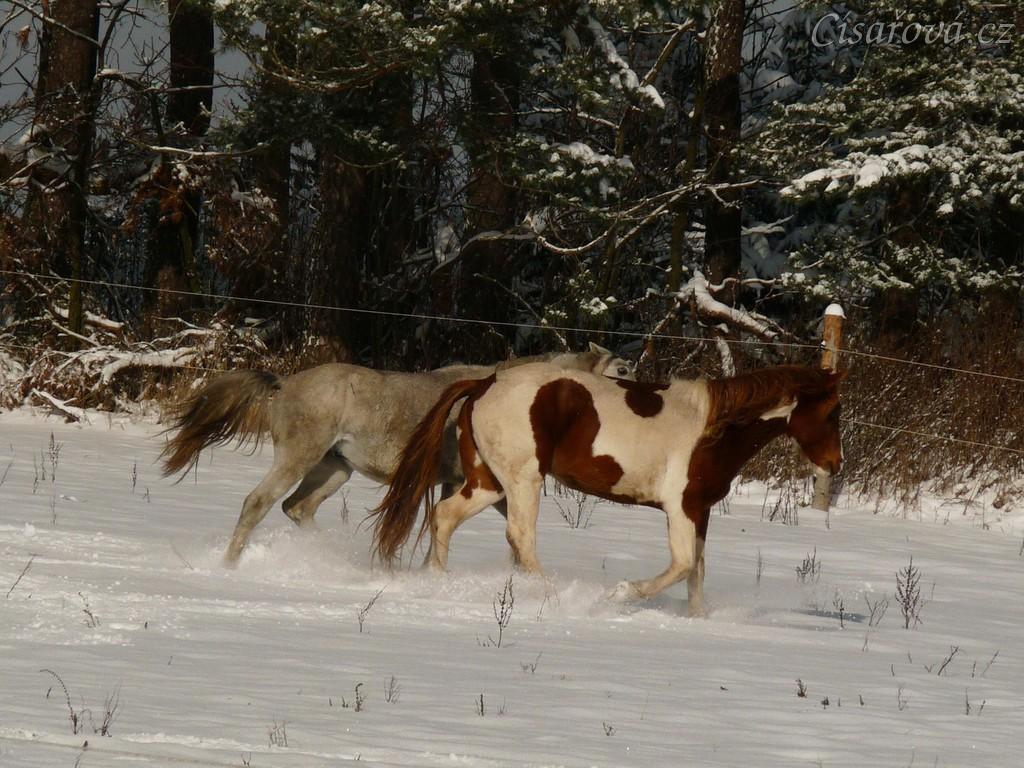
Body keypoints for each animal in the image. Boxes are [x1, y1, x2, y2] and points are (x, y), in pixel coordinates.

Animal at [161, 344, 635, 564]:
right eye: (621, 371)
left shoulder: (458, 483)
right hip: (298, 458)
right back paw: (230, 565)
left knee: (297, 508)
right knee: (257, 504)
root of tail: (285, 384)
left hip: (334, 470)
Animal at [372, 363, 844, 617]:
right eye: (831, 413)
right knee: (520, 536)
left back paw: (437, 579)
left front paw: (697, 618)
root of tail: (484, 384)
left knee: (444, 517)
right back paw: (552, 594)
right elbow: (682, 565)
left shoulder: (702, 510)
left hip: (488, 482)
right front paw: (619, 594)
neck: (713, 429)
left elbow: (697, 570)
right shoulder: (681, 507)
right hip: (523, 481)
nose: (834, 464)